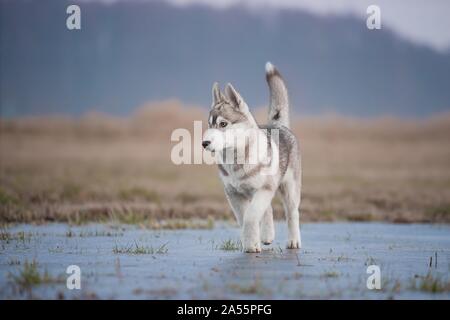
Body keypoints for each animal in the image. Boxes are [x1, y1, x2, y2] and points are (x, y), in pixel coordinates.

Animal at [202, 62, 300, 252]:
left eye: (223, 124)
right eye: (210, 124)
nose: (204, 143)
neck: (237, 161)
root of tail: (278, 125)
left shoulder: (263, 189)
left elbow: (250, 216)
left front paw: (251, 245)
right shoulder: (234, 194)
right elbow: (243, 219)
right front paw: (251, 242)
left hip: (289, 188)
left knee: (292, 213)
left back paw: (294, 241)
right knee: (268, 210)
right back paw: (267, 236)